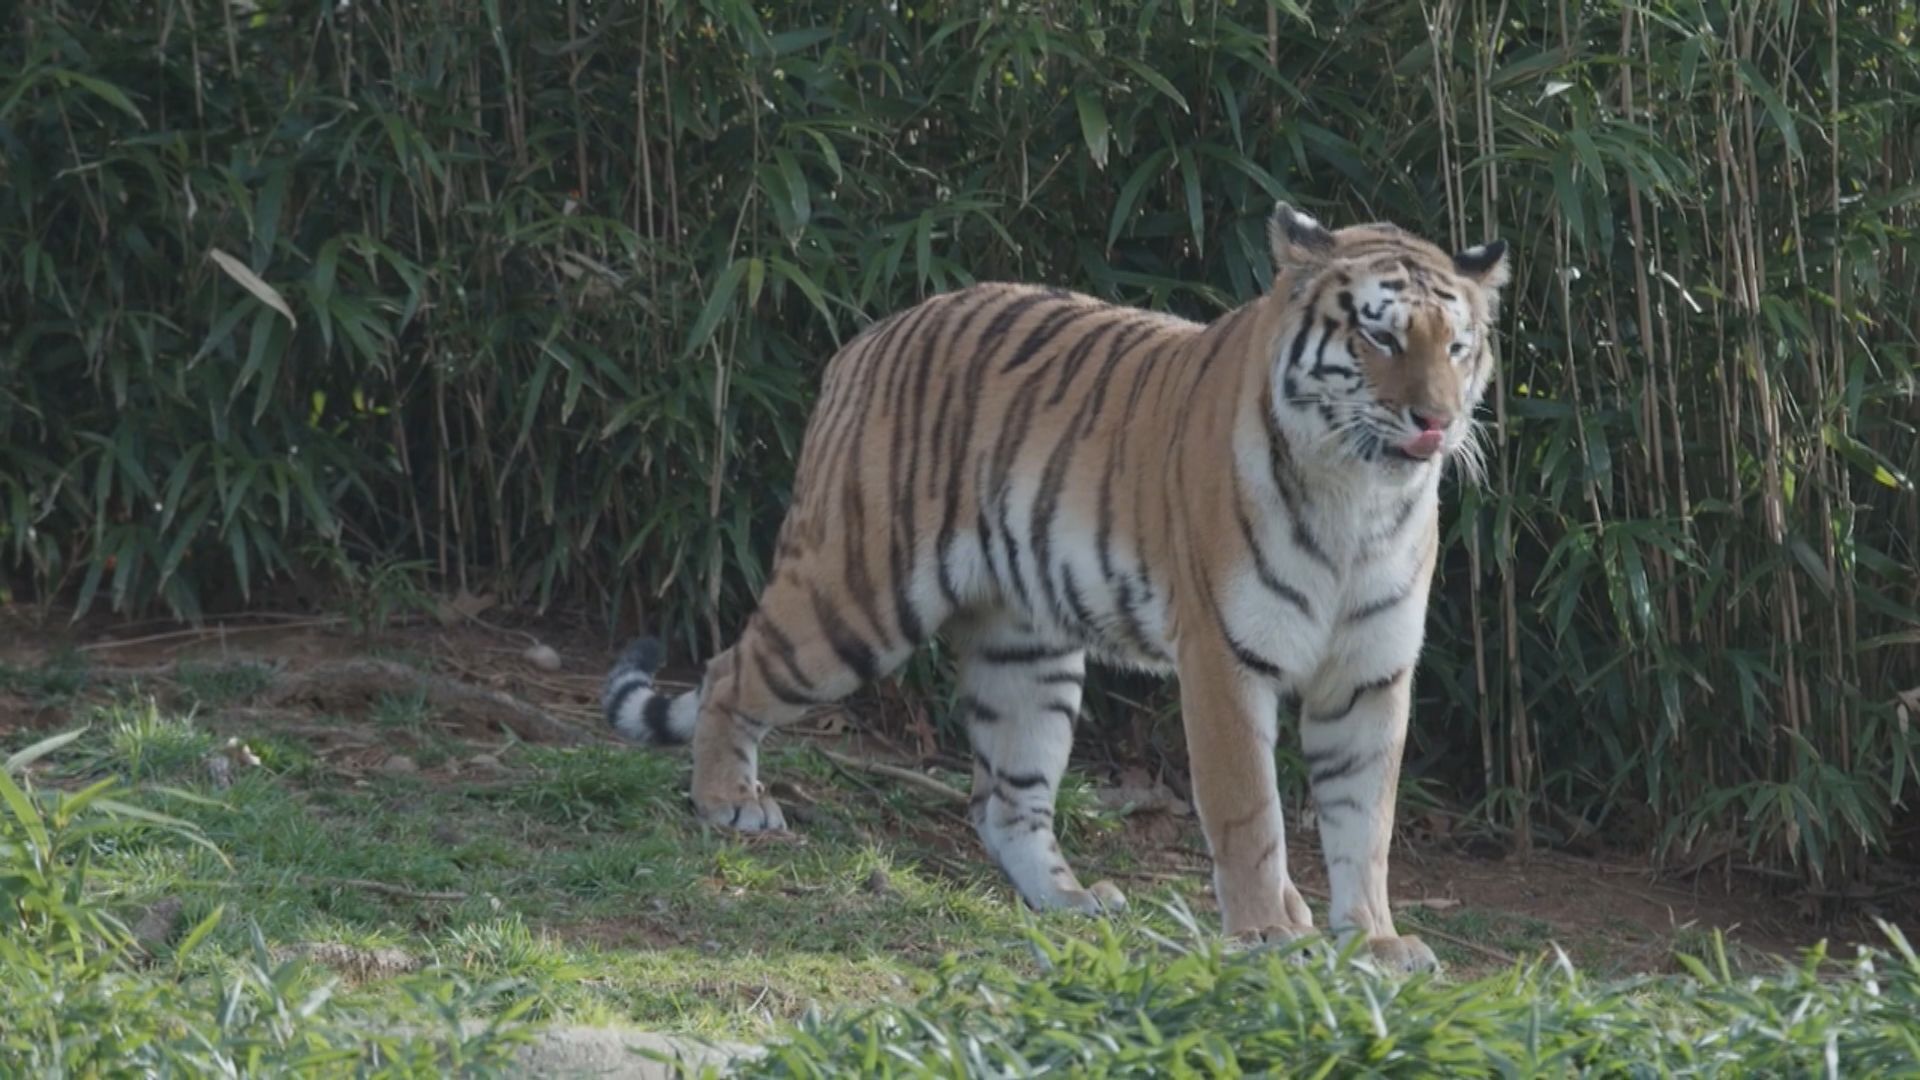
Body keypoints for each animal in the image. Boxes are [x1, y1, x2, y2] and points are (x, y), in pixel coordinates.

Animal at [604, 202, 1509, 974]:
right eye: (1379, 338)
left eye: (1456, 348)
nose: (1435, 421)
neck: (1361, 502)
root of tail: (865, 340)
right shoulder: (1224, 657)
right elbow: (1249, 809)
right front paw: (1266, 933)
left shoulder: (1370, 673)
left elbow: (1366, 819)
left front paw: (1375, 942)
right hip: (852, 598)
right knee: (730, 671)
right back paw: (730, 803)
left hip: (1028, 652)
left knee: (1003, 801)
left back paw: (1070, 902)